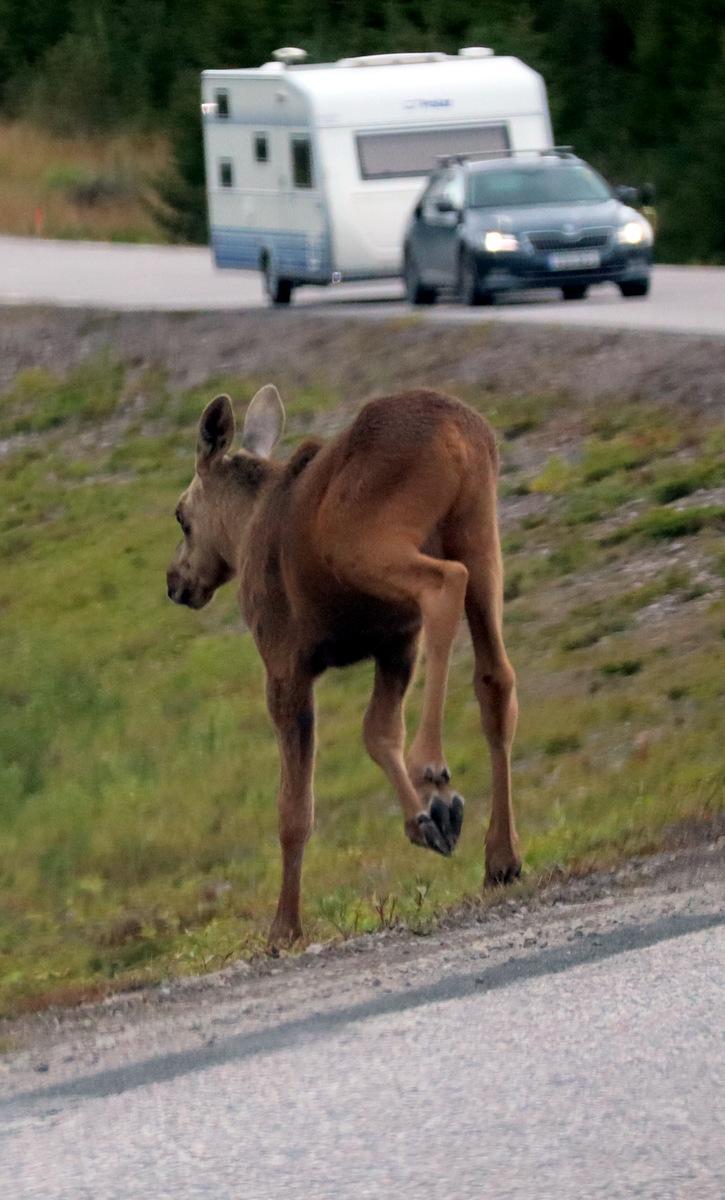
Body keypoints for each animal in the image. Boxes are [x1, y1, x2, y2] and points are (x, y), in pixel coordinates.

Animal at [168, 384, 520, 945]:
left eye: (182, 516)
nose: (175, 581)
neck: (245, 528)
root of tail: (456, 430)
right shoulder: (394, 642)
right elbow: (378, 733)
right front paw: (427, 820)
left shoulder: (285, 665)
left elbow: (295, 806)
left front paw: (284, 927)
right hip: (479, 531)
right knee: (495, 679)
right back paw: (501, 856)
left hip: (364, 543)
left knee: (443, 584)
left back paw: (432, 763)